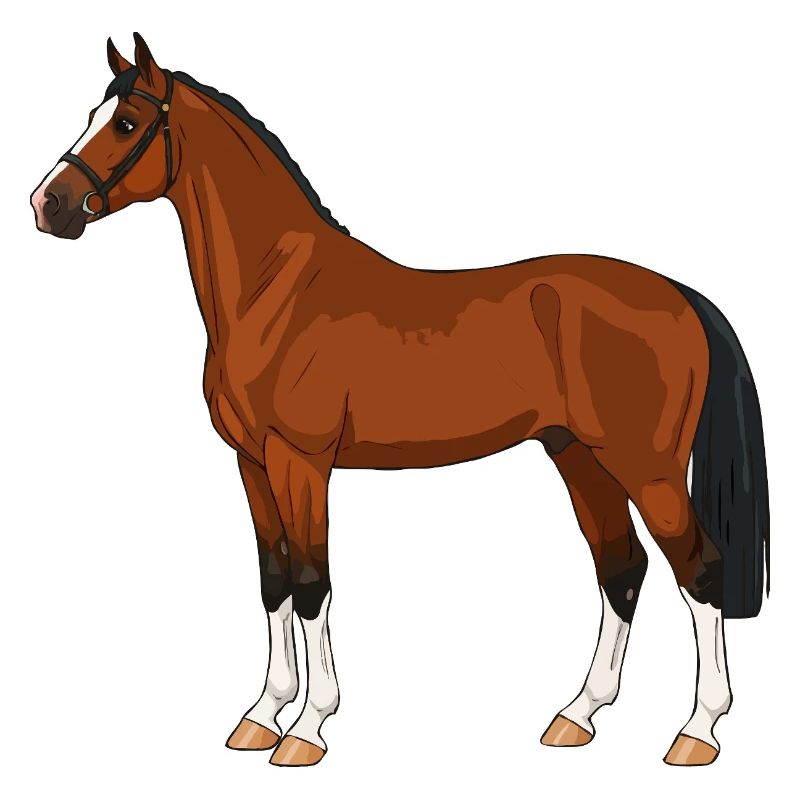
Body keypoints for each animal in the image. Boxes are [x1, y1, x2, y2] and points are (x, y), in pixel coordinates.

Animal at [30, 33, 769, 768]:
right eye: (93, 116)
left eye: (126, 124)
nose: (47, 205)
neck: (275, 292)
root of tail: (679, 295)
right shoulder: (251, 464)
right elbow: (273, 581)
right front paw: (261, 716)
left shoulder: (301, 462)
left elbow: (311, 583)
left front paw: (307, 729)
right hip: (578, 457)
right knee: (622, 569)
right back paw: (577, 715)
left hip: (647, 468)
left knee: (699, 571)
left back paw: (697, 732)